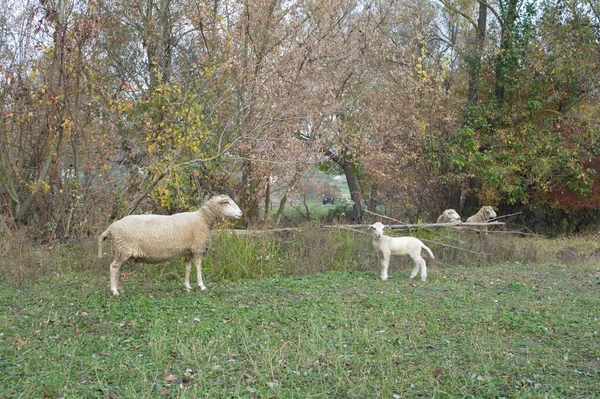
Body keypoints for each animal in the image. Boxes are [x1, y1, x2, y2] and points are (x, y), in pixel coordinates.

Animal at [97, 194, 243, 296]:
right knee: (113, 268)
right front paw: (201, 286)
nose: (241, 213)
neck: (202, 219)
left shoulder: (188, 252)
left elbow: (188, 269)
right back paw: (114, 291)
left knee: (118, 269)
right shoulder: (197, 249)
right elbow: (198, 269)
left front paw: (188, 286)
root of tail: (110, 228)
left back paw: (118, 288)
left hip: (122, 251)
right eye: (227, 202)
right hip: (123, 249)